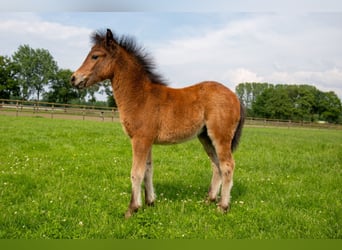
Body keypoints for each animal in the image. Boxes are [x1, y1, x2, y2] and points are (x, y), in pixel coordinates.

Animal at [71, 28, 244, 217]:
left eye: (95, 56)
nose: (73, 78)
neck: (140, 96)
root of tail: (235, 97)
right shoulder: (147, 141)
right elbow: (148, 170)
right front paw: (149, 202)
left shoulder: (140, 139)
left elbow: (136, 172)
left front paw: (132, 209)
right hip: (205, 137)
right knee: (216, 165)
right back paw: (209, 200)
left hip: (220, 137)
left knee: (227, 165)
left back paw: (223, 206)